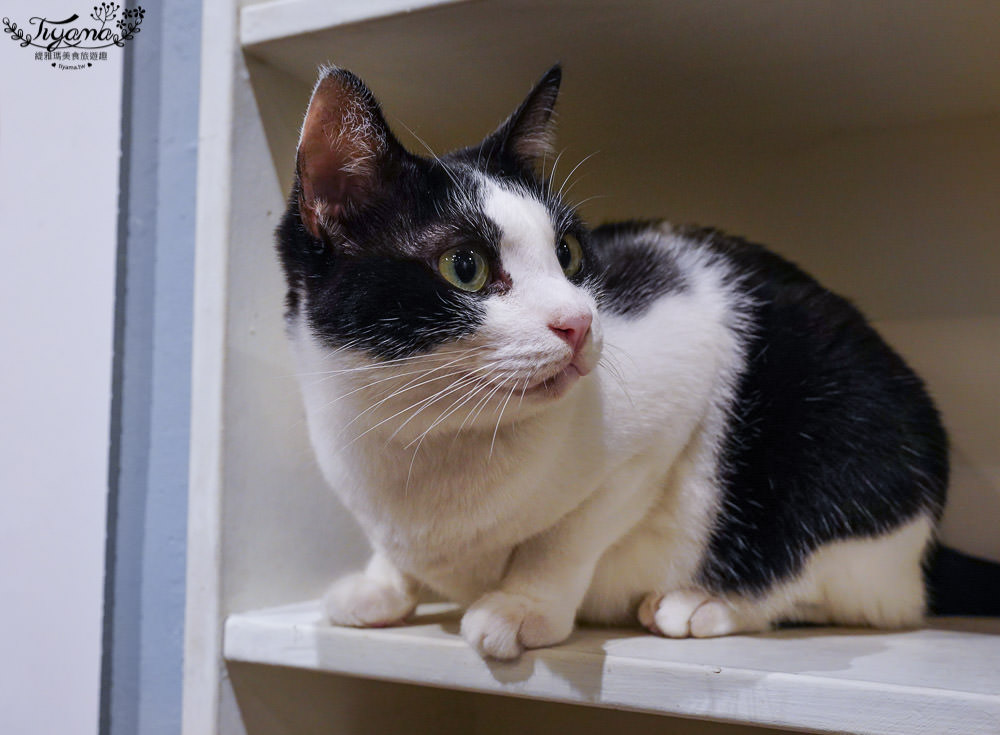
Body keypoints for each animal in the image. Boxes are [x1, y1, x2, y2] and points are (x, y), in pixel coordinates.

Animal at [276, 64, 1000, 660]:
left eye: (568, 254)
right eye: (466, 267)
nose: (579, 323)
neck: (426, 439)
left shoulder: (672, 386)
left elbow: (568, 534)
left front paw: (523, 605)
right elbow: (394, 551)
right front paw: (384, 584)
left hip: (847, 440)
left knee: (845, 587)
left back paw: (709, 602)